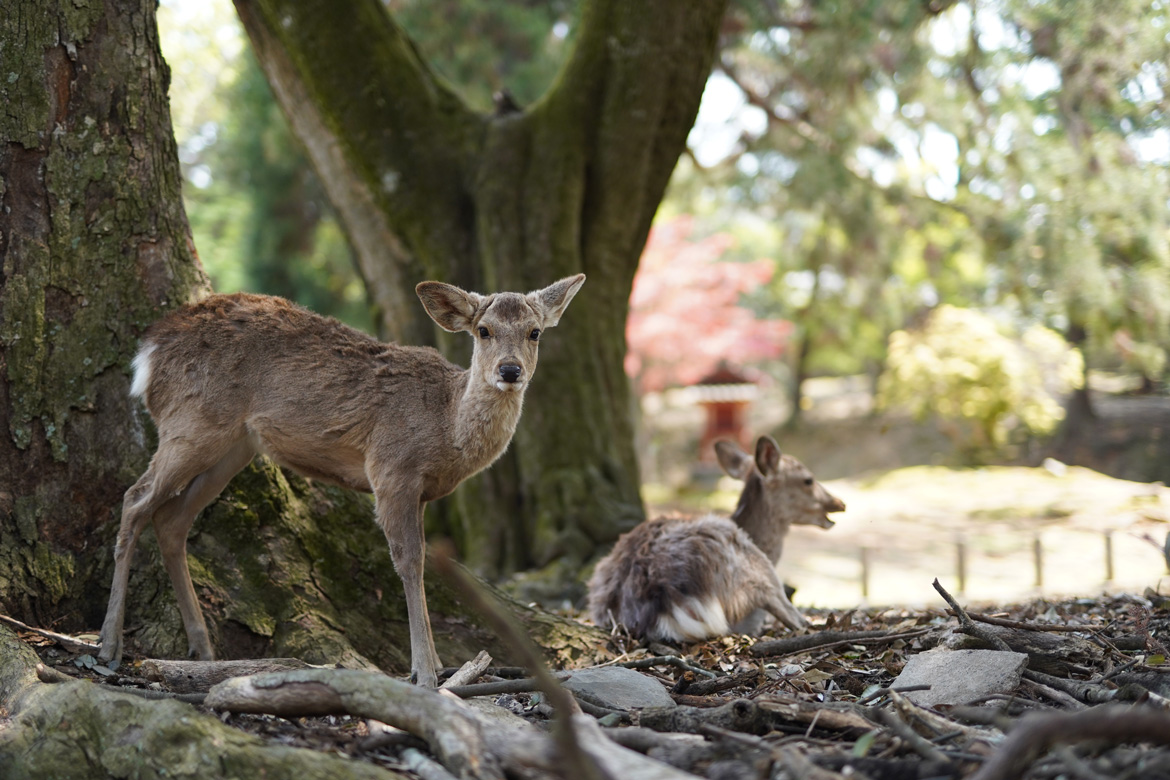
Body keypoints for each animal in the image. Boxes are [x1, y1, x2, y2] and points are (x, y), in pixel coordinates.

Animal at [99, 271, 585, 687]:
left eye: (535, 332)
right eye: (483, 330)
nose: (509, 370)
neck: (446, 427)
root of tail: (149, 351)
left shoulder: (420, 491)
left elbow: (421, 561)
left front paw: (434, 665)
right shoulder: (390, 469)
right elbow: (410, 562)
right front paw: (425, 672)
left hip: (231, 445)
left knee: (171, 520)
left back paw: (202, 650)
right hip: (191, 421)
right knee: (135, 499)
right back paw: (108, 645)